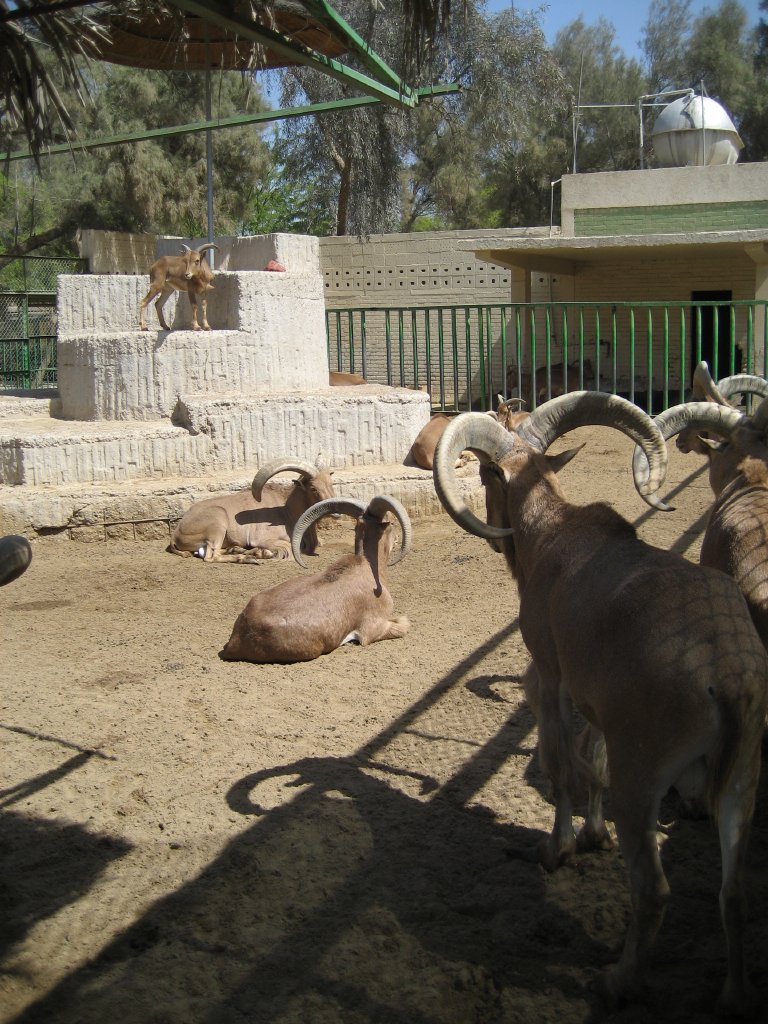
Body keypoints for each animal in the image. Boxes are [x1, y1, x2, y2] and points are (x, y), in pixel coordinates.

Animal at [168, 458, 335, 563]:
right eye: (313, 488)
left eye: (331, 484)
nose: (334, 510)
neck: (287, 513)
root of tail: (176, 533)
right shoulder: (263, 539)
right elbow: (286, 548)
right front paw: (262, 553)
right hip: (217, 523)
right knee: (211, 556)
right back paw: (244, 558)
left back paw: (236, 550)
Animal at [221, 494, 411, 663]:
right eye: (392, 523)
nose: (396, 538)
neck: (367, 567)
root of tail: (237, 639)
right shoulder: (372, 629)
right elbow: (404, 624)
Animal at [432, 391, 768, 1014]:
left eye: (488, 478)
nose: (493, 533)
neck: (554, 534)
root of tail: (726, 674)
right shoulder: (597, 707)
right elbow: (593, 760)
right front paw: (593, 835)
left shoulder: (554, 677)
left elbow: (564, 766)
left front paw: (559, 849)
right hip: (743, 779)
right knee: (733, 891)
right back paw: (735, 996)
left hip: (644, 781)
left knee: (654, 888)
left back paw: (619, 981)